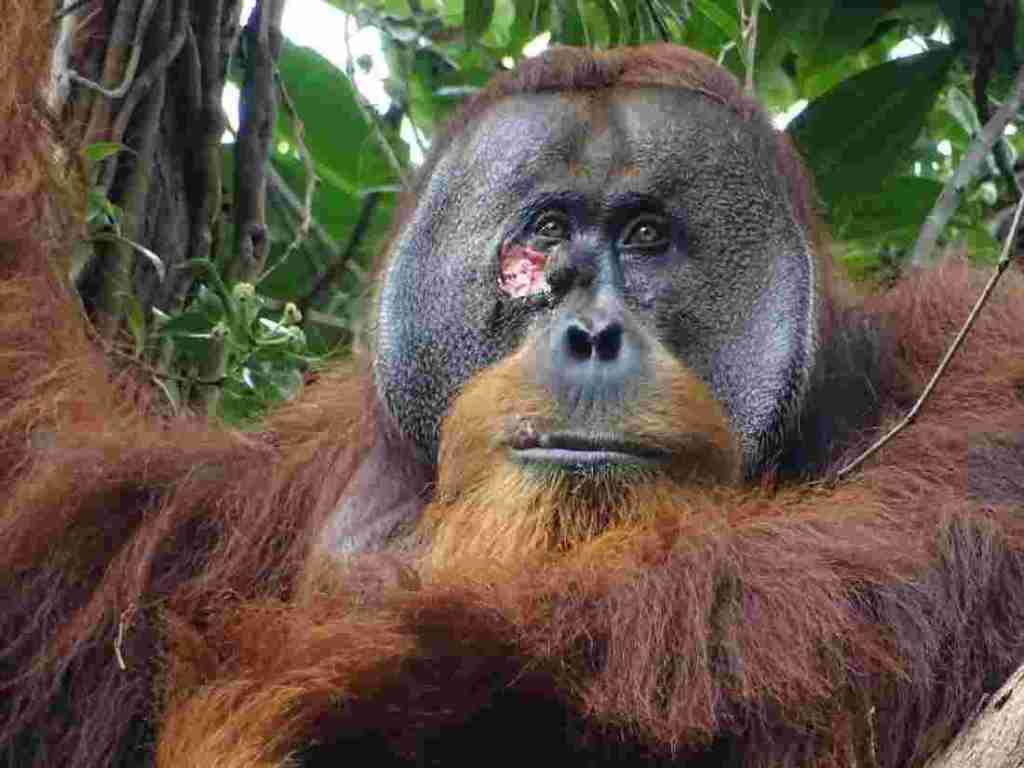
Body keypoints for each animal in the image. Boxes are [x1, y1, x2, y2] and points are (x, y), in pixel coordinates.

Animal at [3, 34, 1024, 768]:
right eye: (548, 232)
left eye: (646, 236)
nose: (591, 332)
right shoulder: (235, 501)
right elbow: (54, 507)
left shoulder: (963, 350)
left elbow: (891, 551)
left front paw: (361, 686)